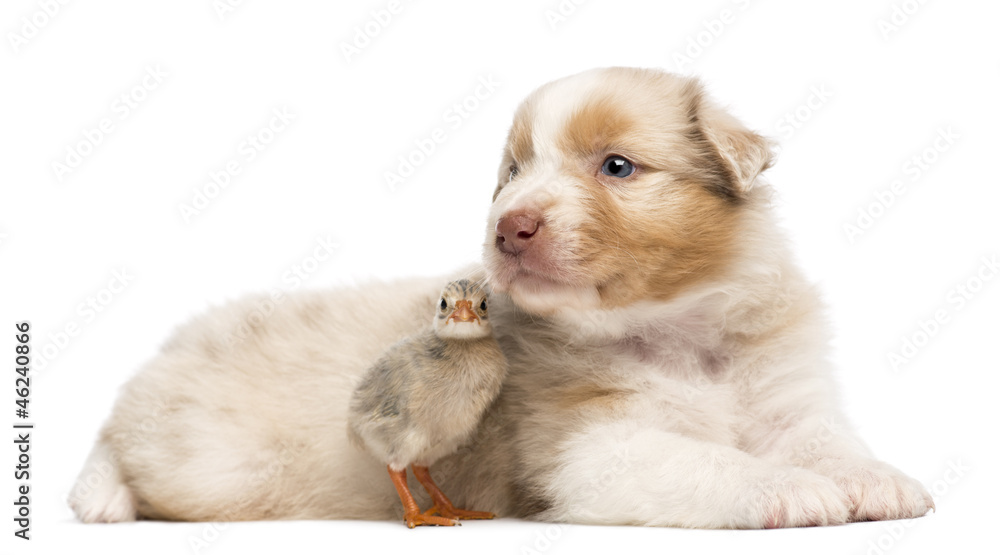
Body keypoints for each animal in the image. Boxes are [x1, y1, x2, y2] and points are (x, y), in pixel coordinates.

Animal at [70, 67, 933, 528]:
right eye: (513, 173)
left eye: (616, 166)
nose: (508, 226)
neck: (677, 329)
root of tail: (174, 344)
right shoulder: (588, 449)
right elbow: (704, 457)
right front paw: (787, 487)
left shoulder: (786, 394)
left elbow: (824, 438)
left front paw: (874, 477)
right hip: (216, 460)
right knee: (120, 437)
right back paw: (101, 495)